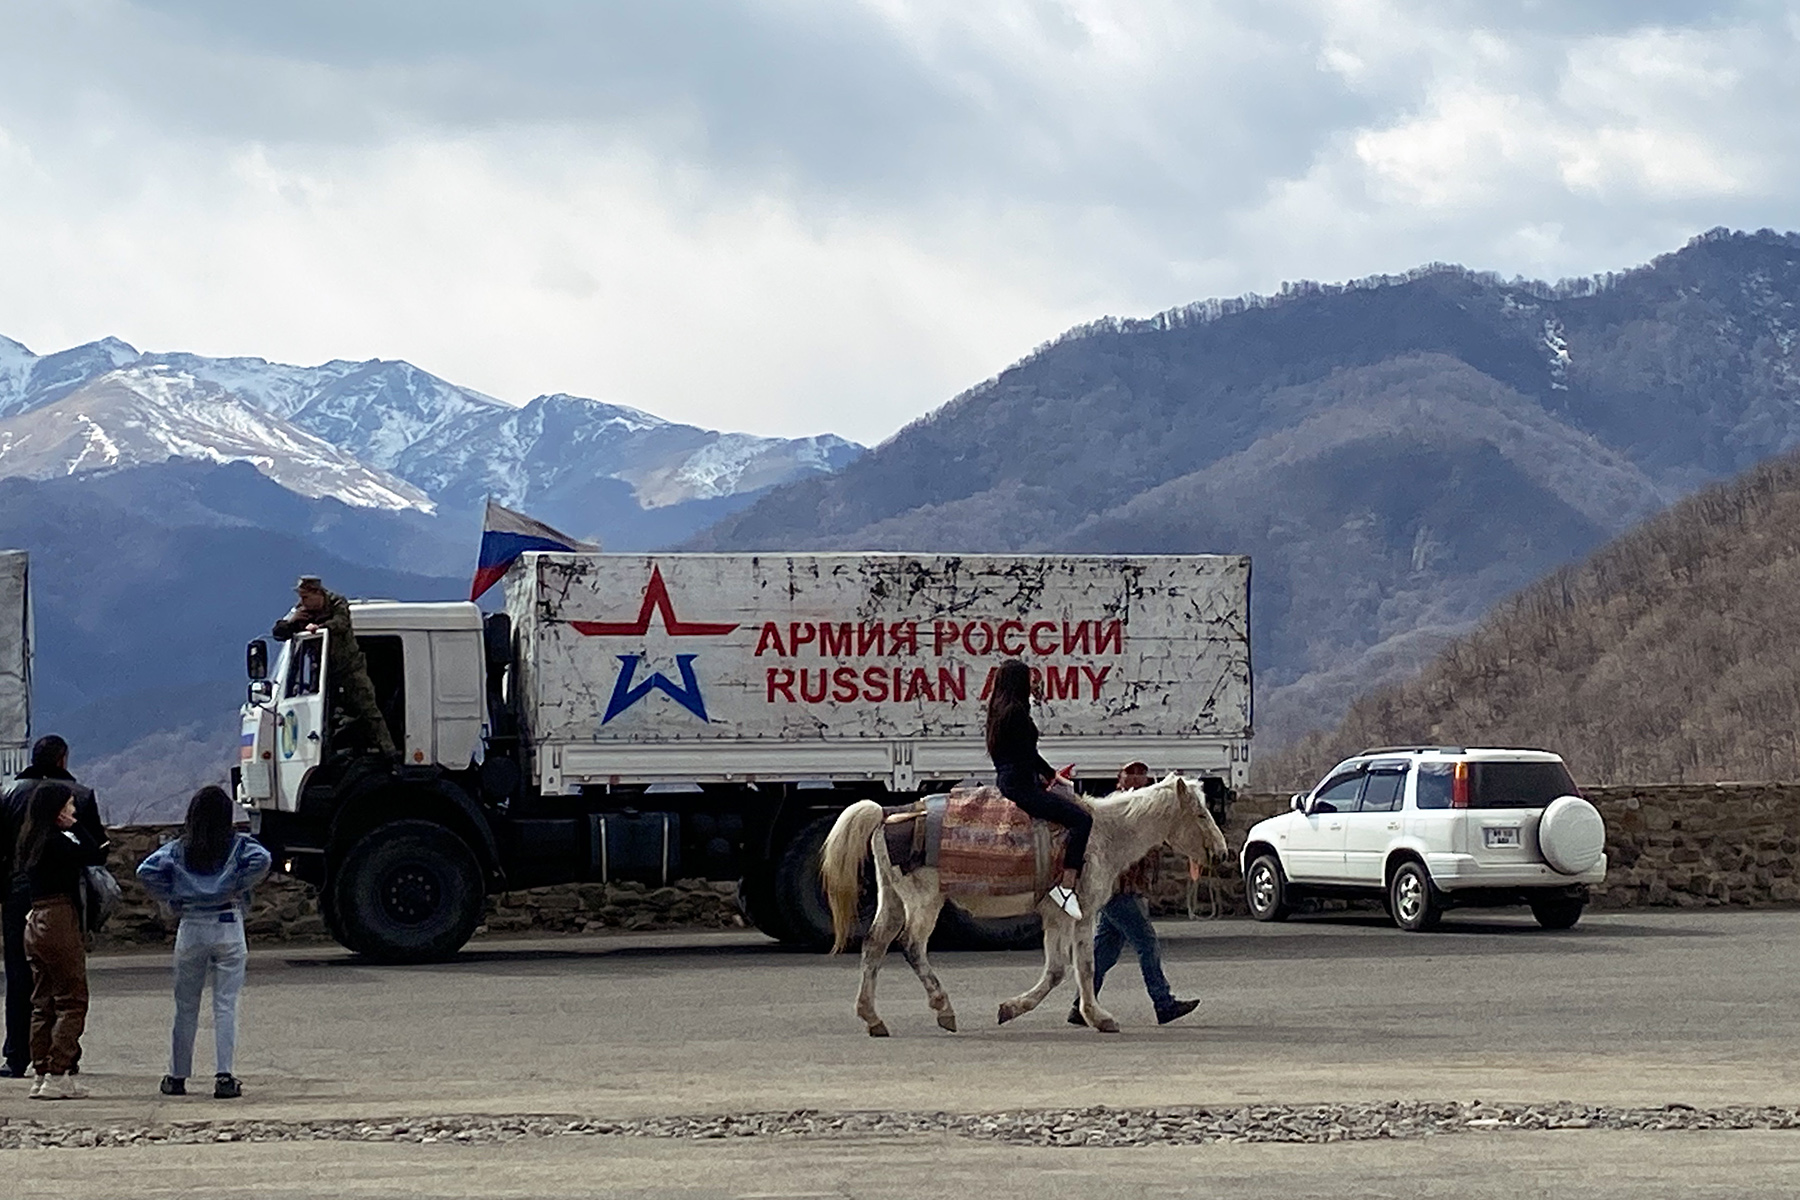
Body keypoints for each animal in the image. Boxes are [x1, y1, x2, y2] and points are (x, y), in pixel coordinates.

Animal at [820, 773, 1231, 1036]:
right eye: (1200, 814)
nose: (1222, 851)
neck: (1103, 832)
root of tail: (886, 814)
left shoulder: (1059, 918)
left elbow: (1068, 968)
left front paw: (1075, 1014)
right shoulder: (1078, 914)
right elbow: (1075, 968)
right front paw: (1094, 1017)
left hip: (891, 900)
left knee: (874, 945)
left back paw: (873, 1018)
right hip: (924, 902)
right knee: (911, 946)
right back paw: (944, 1009)